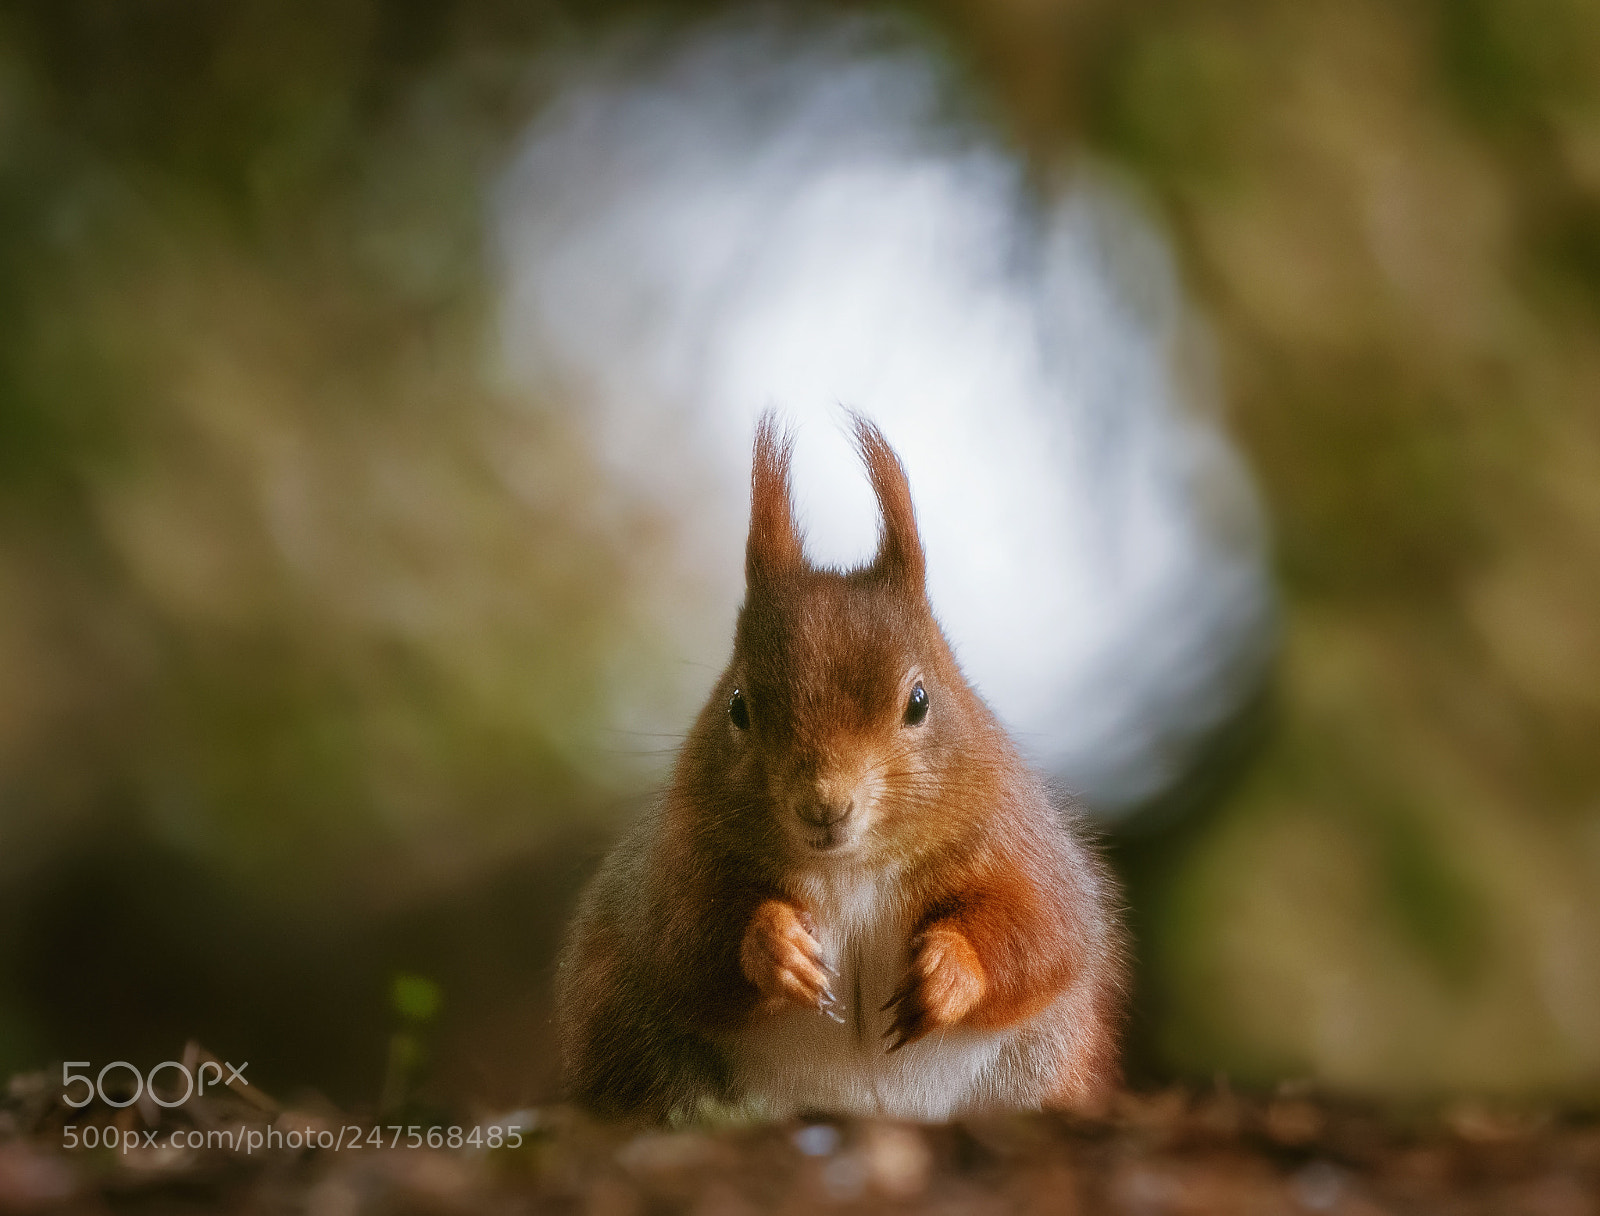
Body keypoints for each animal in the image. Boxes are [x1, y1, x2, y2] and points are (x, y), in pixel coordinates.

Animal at [557, 414, 1126, 1122]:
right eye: (738, 705)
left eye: (919, 701)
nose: (824, 804)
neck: (848, 869)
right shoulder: (670, 864)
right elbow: (678, 943)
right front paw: (773, 947)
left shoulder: (1017, 838)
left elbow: (1043, 930)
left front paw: (950, 971)